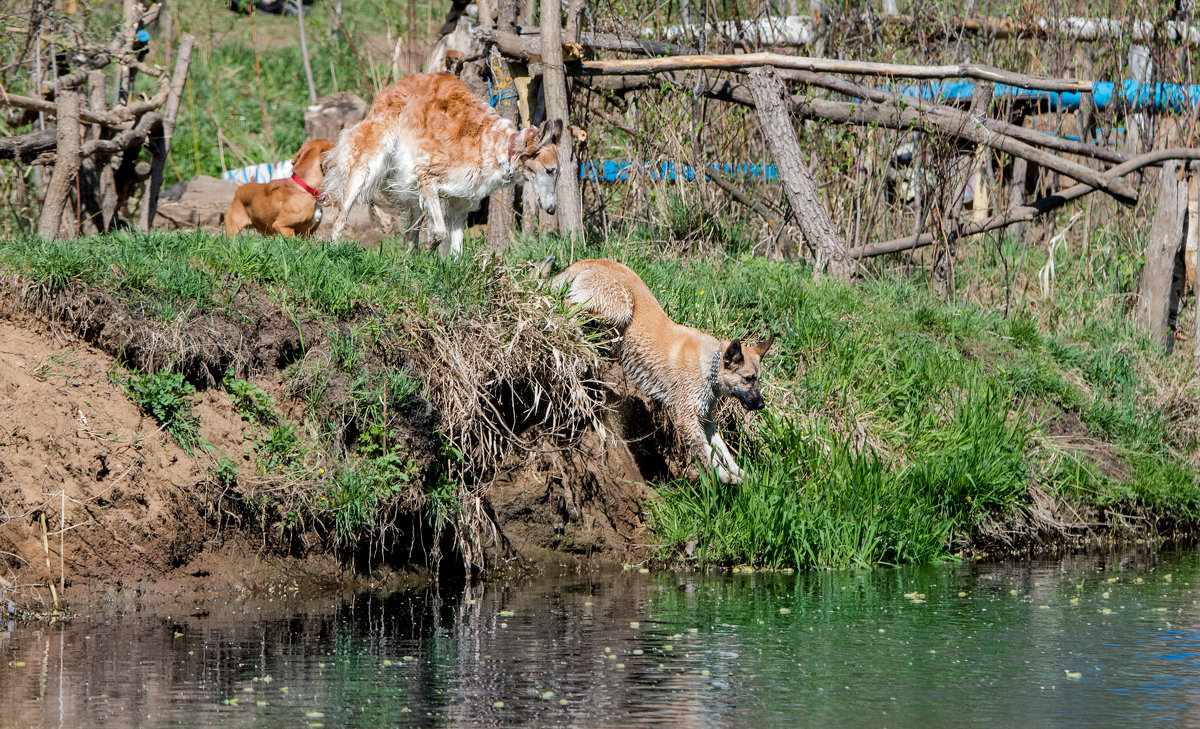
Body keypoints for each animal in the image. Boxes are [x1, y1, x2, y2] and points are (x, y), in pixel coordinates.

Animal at [554, 257, 772, 484]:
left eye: (758, 379)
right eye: (748, 378)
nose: (761, 405)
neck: (710, 365)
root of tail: (593, 260)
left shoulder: (705, 419)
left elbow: (723, 451)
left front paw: (740, 474)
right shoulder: (687, 419)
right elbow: (708, 454)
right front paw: (725, 476)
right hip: (620, 310)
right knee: (568, 306)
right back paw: (579, 339)